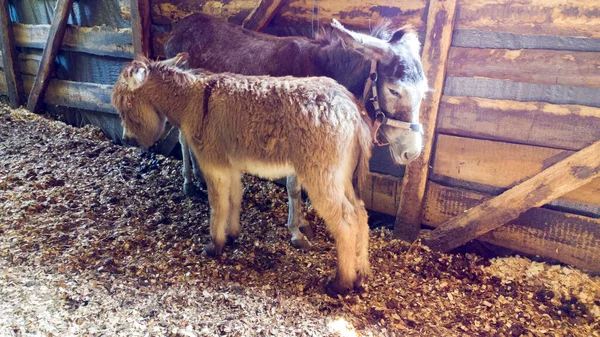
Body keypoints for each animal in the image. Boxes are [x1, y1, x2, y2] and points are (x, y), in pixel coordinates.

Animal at [110, 54, 372, 294]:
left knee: (346, 220)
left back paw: (341, 282)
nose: (126, 140)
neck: (194, 101)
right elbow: (234, 198)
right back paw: (361, 274)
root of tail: (353, 111)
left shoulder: (213, 164)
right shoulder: (231, 166)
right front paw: (233, 234)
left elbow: (218, 205)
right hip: (342, 175)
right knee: (360, 213)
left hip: (320, 175)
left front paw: (214, 245)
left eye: (124, 104)